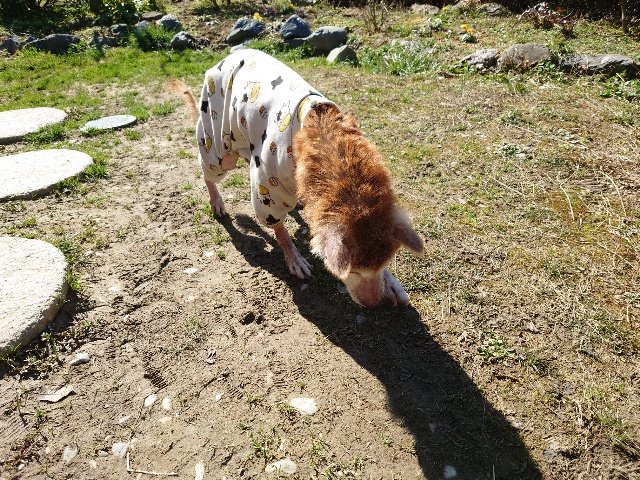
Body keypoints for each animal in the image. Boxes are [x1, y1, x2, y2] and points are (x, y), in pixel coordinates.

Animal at [170, 49, 424, 306]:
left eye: (384, 264)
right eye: (352, 271)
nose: (373, 304)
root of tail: (231, 55)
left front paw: (392, 284)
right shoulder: (268, 183)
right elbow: (279, 229)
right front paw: (295, 260)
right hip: (217, 139)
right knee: (208, 171)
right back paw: (216, 202)